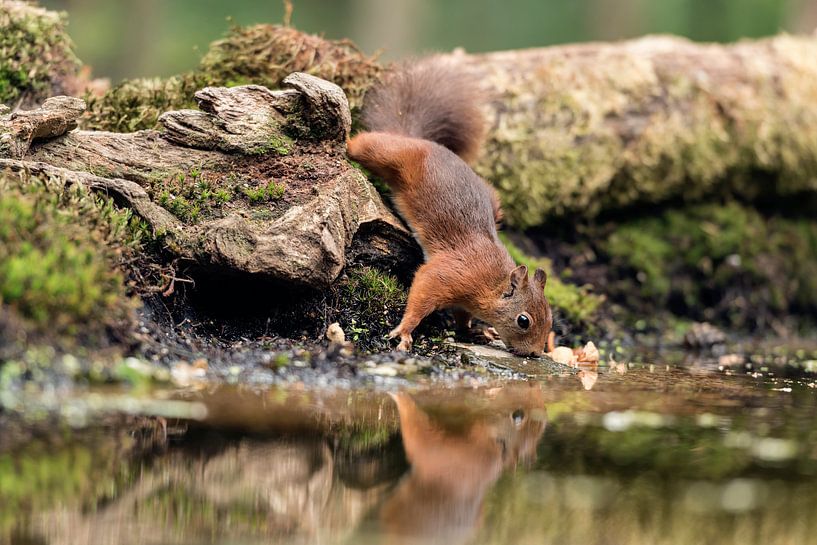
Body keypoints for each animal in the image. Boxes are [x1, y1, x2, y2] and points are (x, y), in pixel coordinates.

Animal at [348, 60, 552, 356]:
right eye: (523, 320)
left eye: (550, 317)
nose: (536, 353)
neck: (492, 282)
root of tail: (422, 141)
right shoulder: (453, 273)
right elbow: (424, 288)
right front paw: (406, 330)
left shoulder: (466, 300)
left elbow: (462, 315)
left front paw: (473, 331)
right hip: (392, 154)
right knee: (366, 144)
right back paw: (344, 141)